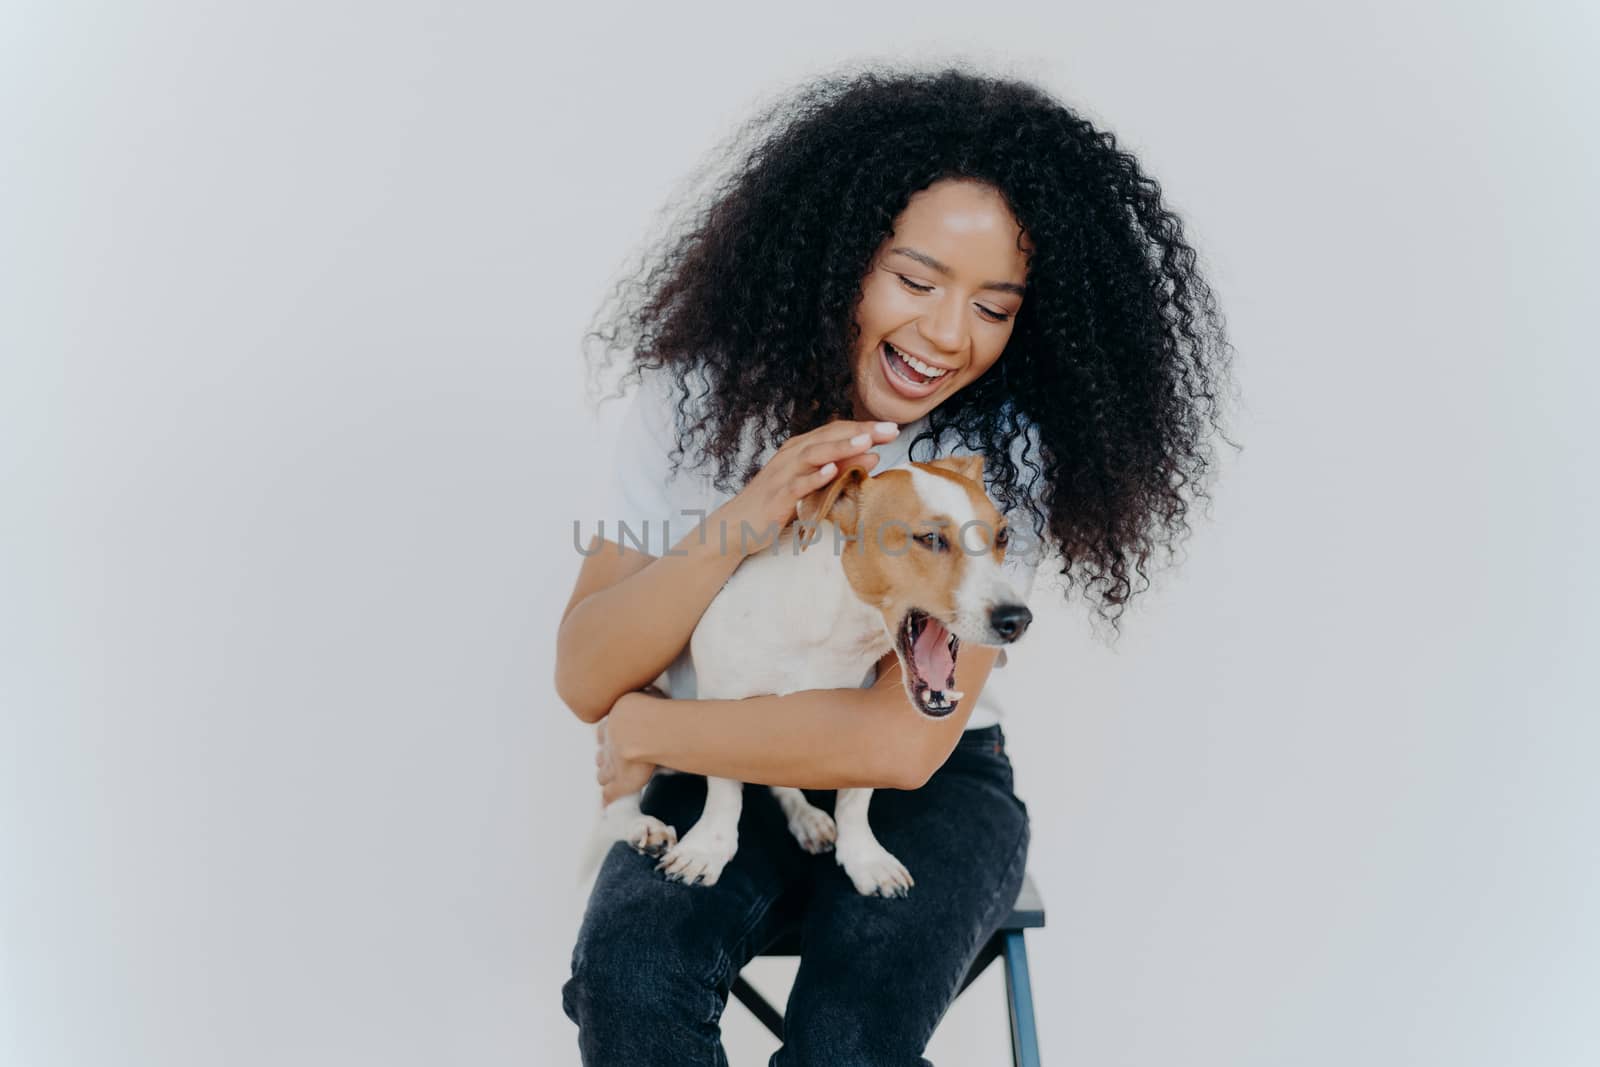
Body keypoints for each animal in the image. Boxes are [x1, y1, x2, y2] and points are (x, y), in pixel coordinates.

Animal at [601, 454, 1036, 895]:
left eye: (1003, 536)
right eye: (930, 539)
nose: (1017, 620)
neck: (834, 633)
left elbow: (856, 799)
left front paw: (864, 857)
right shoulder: (718, 703)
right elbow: (724, 790)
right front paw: (708, 849)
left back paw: (806, 818)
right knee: (614, 800)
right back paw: (639, 826)